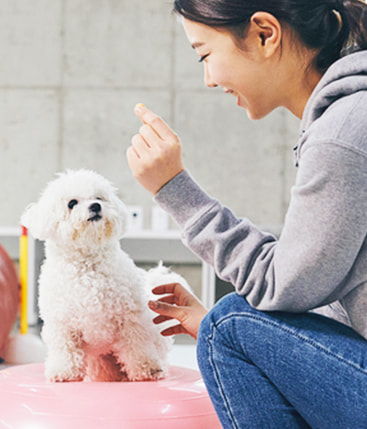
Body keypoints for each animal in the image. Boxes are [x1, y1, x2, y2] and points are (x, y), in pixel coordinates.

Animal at [21, 168, 188, 382]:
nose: (95, 206)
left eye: (99, 197)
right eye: (72, 203)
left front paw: (146, 368)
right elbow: (65, 349)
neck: (88, 266)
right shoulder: (62, 324)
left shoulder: (131, 317)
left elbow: (137, 344)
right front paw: (64, 371)